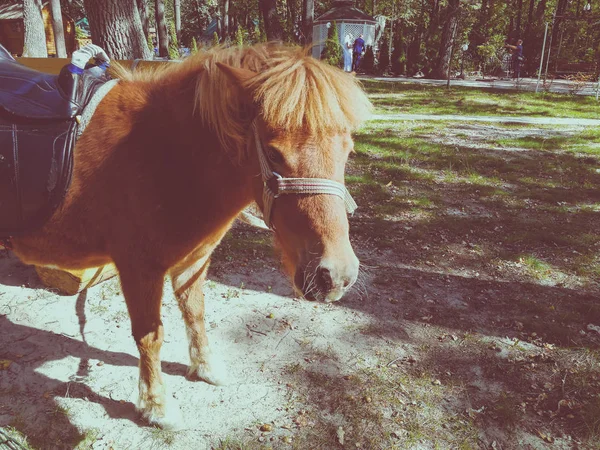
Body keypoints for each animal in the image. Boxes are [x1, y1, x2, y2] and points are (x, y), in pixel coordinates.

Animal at [9, 43, 372, 428]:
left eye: (348, 151)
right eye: (274, 153)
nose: (335, 275)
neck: (162, 158)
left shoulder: (194, 260)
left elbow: (195, 314)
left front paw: (205, 367)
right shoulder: (139, 269)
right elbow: (149, 336)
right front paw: (156, 405)